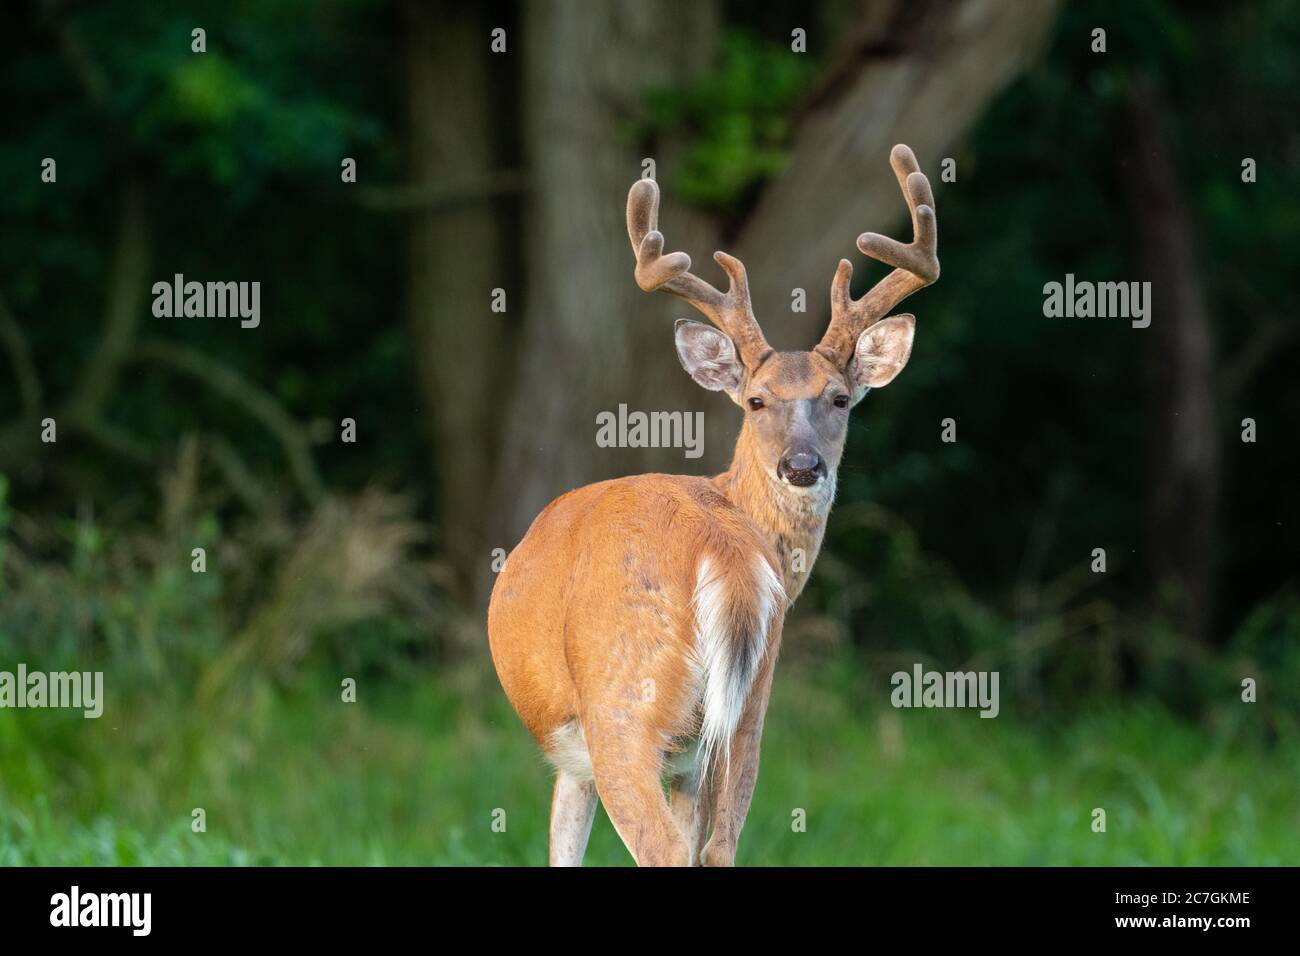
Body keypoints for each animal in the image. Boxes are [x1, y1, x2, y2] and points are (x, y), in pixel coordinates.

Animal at [486, 143, 935, 868]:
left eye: (840, 398)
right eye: (756, 400)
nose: (802, 466)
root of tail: (720, 546)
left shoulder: (577, 755)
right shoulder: (703, 751)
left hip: (623, 710)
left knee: (664, 849)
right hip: (748, 711)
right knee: (720, 847)